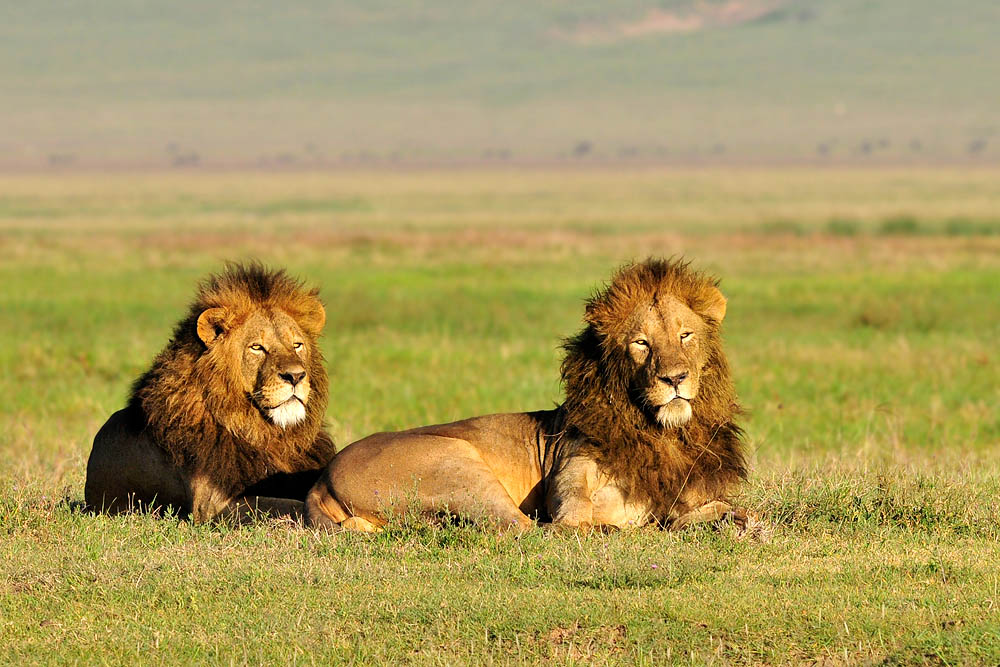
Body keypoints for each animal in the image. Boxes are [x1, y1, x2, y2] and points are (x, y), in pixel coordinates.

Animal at [85, 262, 336, 523]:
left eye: (297, 345)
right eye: (257, 347)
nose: (295, 376)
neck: (268, 434)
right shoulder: (211, 506)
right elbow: (289, 505)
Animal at [305, 258, 747, 532]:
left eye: (685, 335)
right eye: (641, 343)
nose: (675, 378)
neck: (659, 430)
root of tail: (322, 478)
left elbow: (716, 508)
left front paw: (727, 518)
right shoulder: (569, 470)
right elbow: (571, 510)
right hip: (457, 462)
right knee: (528, 529)